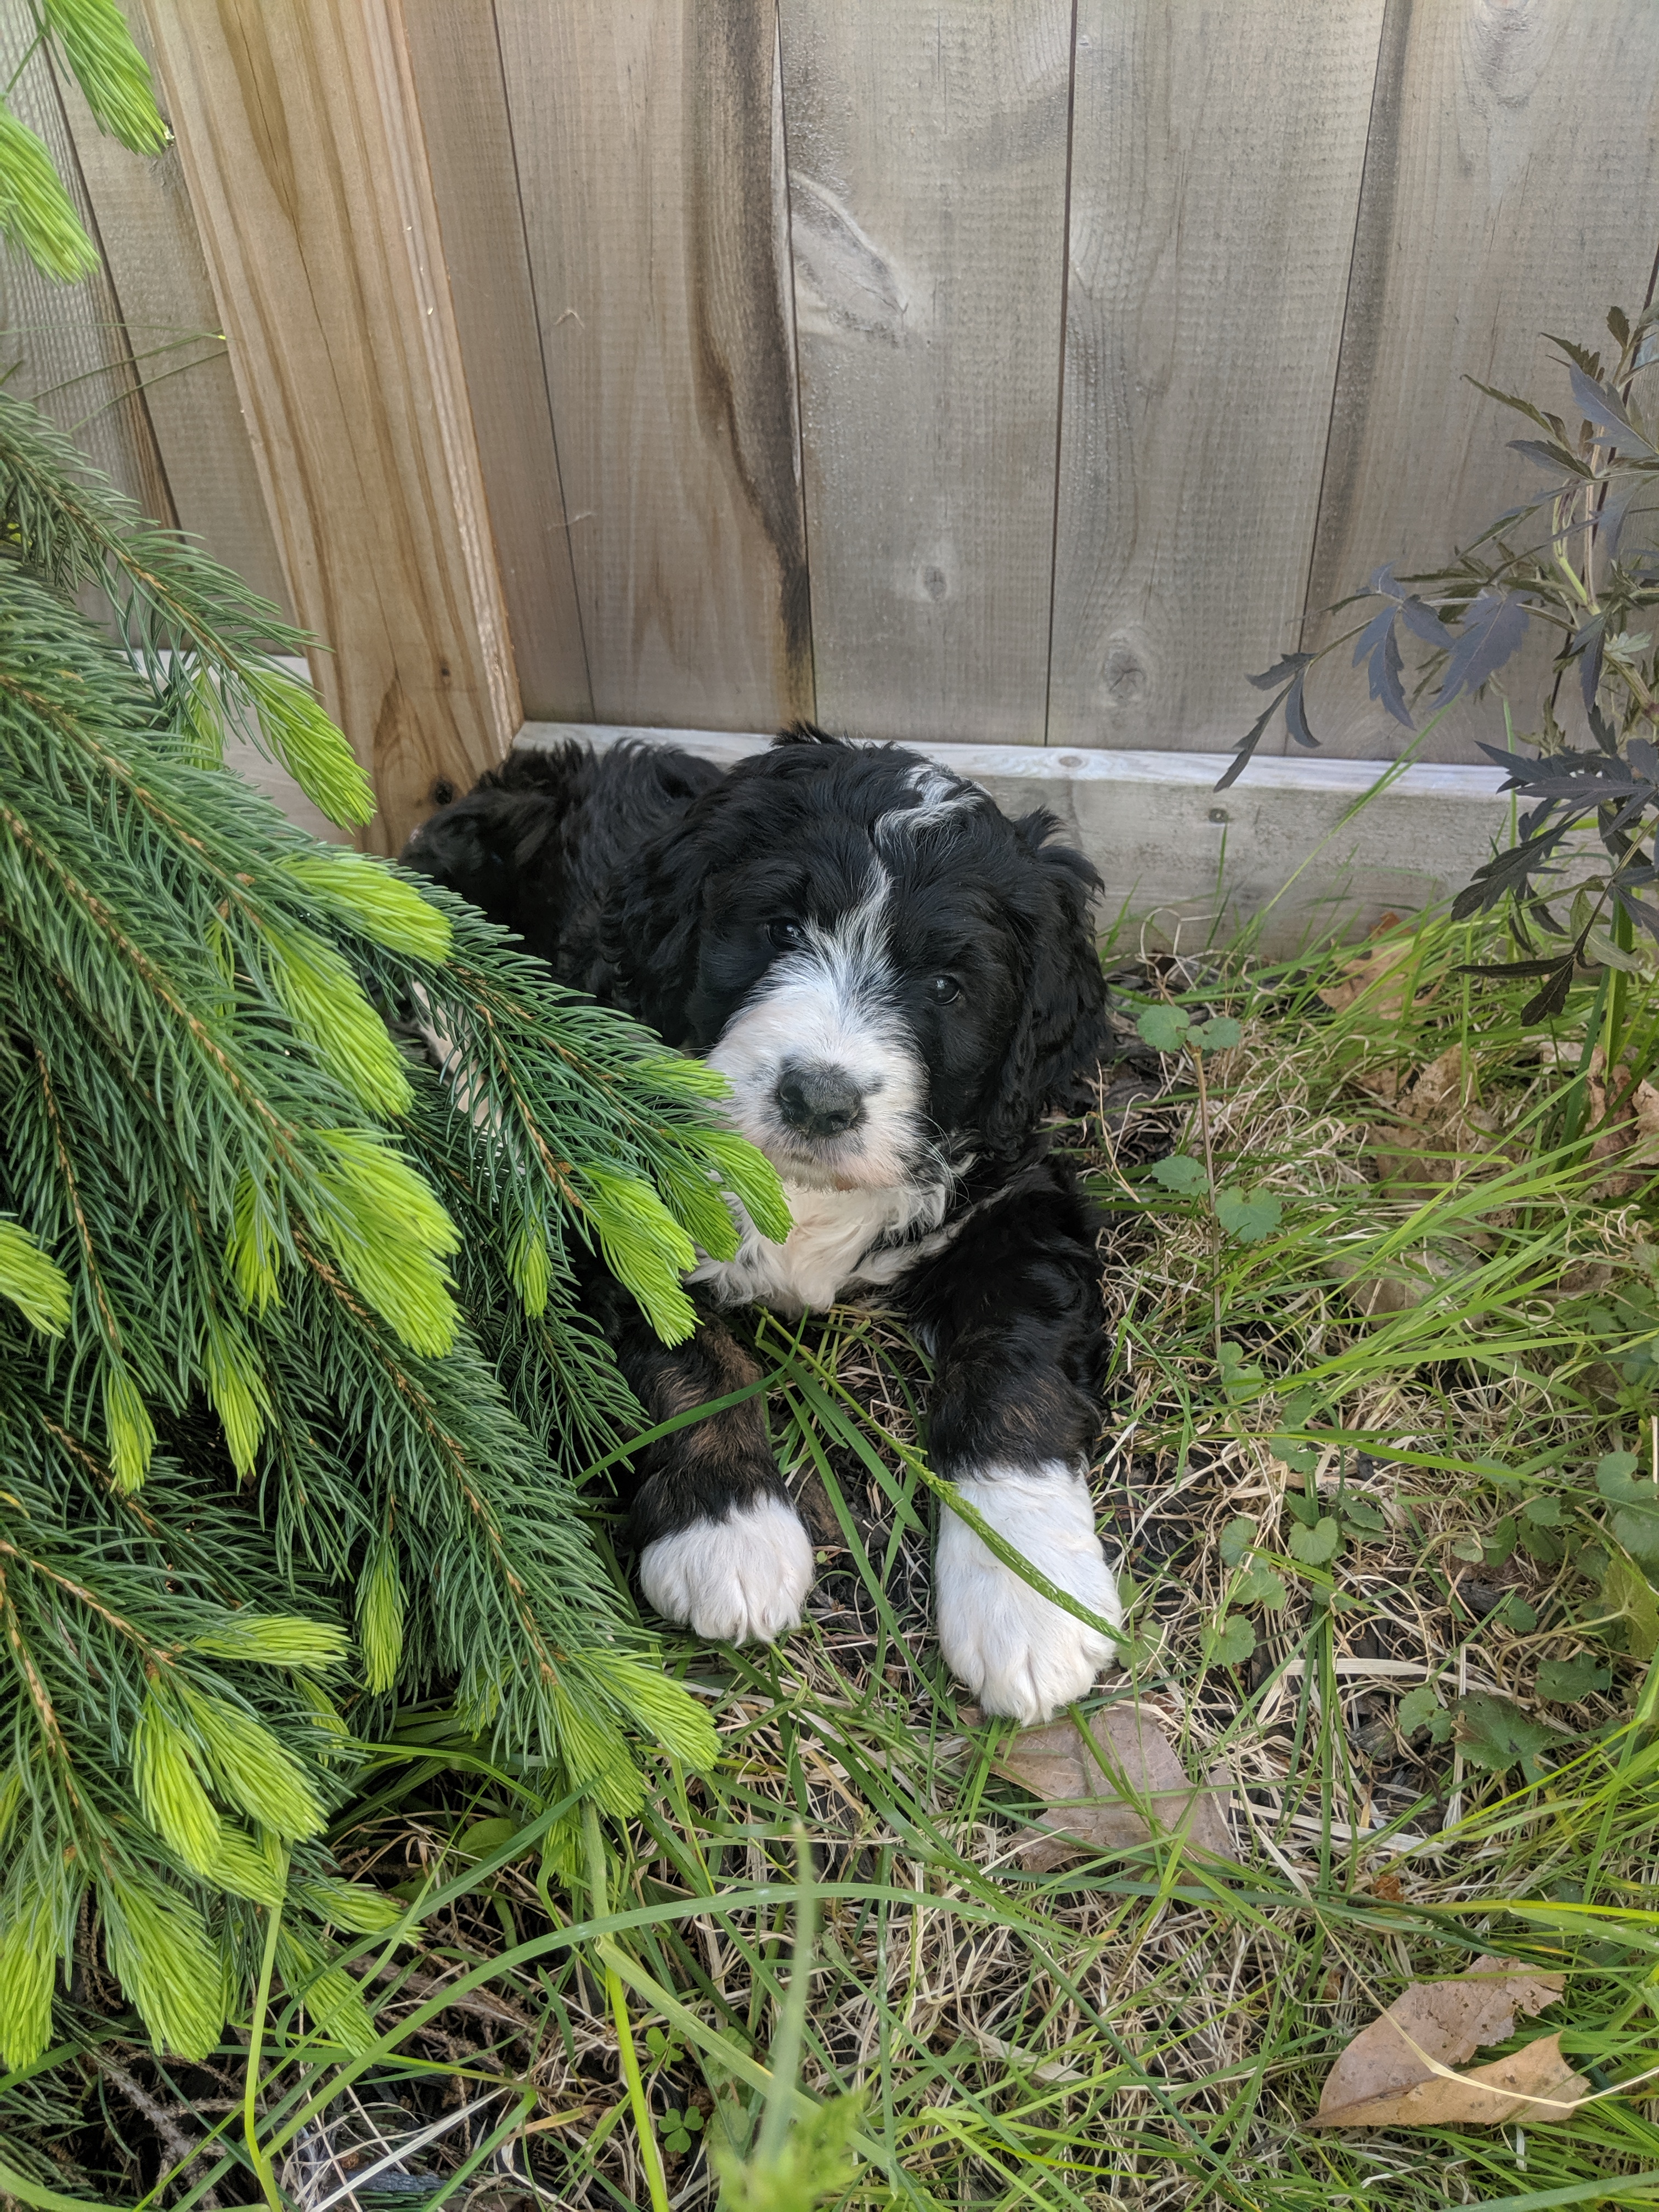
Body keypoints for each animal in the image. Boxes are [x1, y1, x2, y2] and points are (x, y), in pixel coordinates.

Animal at [400, 726, 1122, 1724]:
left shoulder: (1012, 1198)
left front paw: (1031, 1598)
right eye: (779, 930)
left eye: (946, 983)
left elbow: (1015, 1377)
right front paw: (728, 1533)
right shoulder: (601, 1201)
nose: (818, 1099)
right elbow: (685, 1364)